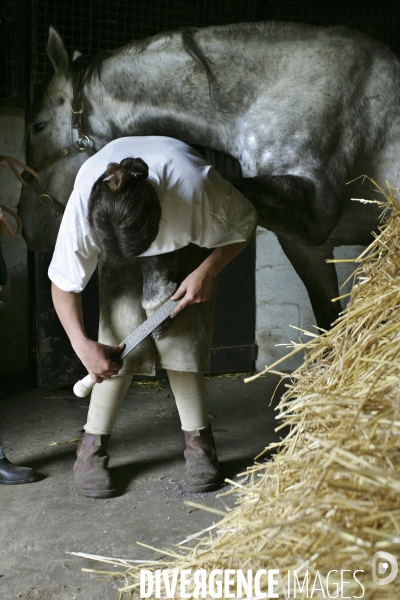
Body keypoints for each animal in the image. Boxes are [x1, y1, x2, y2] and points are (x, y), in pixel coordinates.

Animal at [19, 22, 400, 328]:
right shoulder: (307, 247)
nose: (27, 228)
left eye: (38, 126)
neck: (285, 85)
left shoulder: (315, 212)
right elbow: (328, 328)